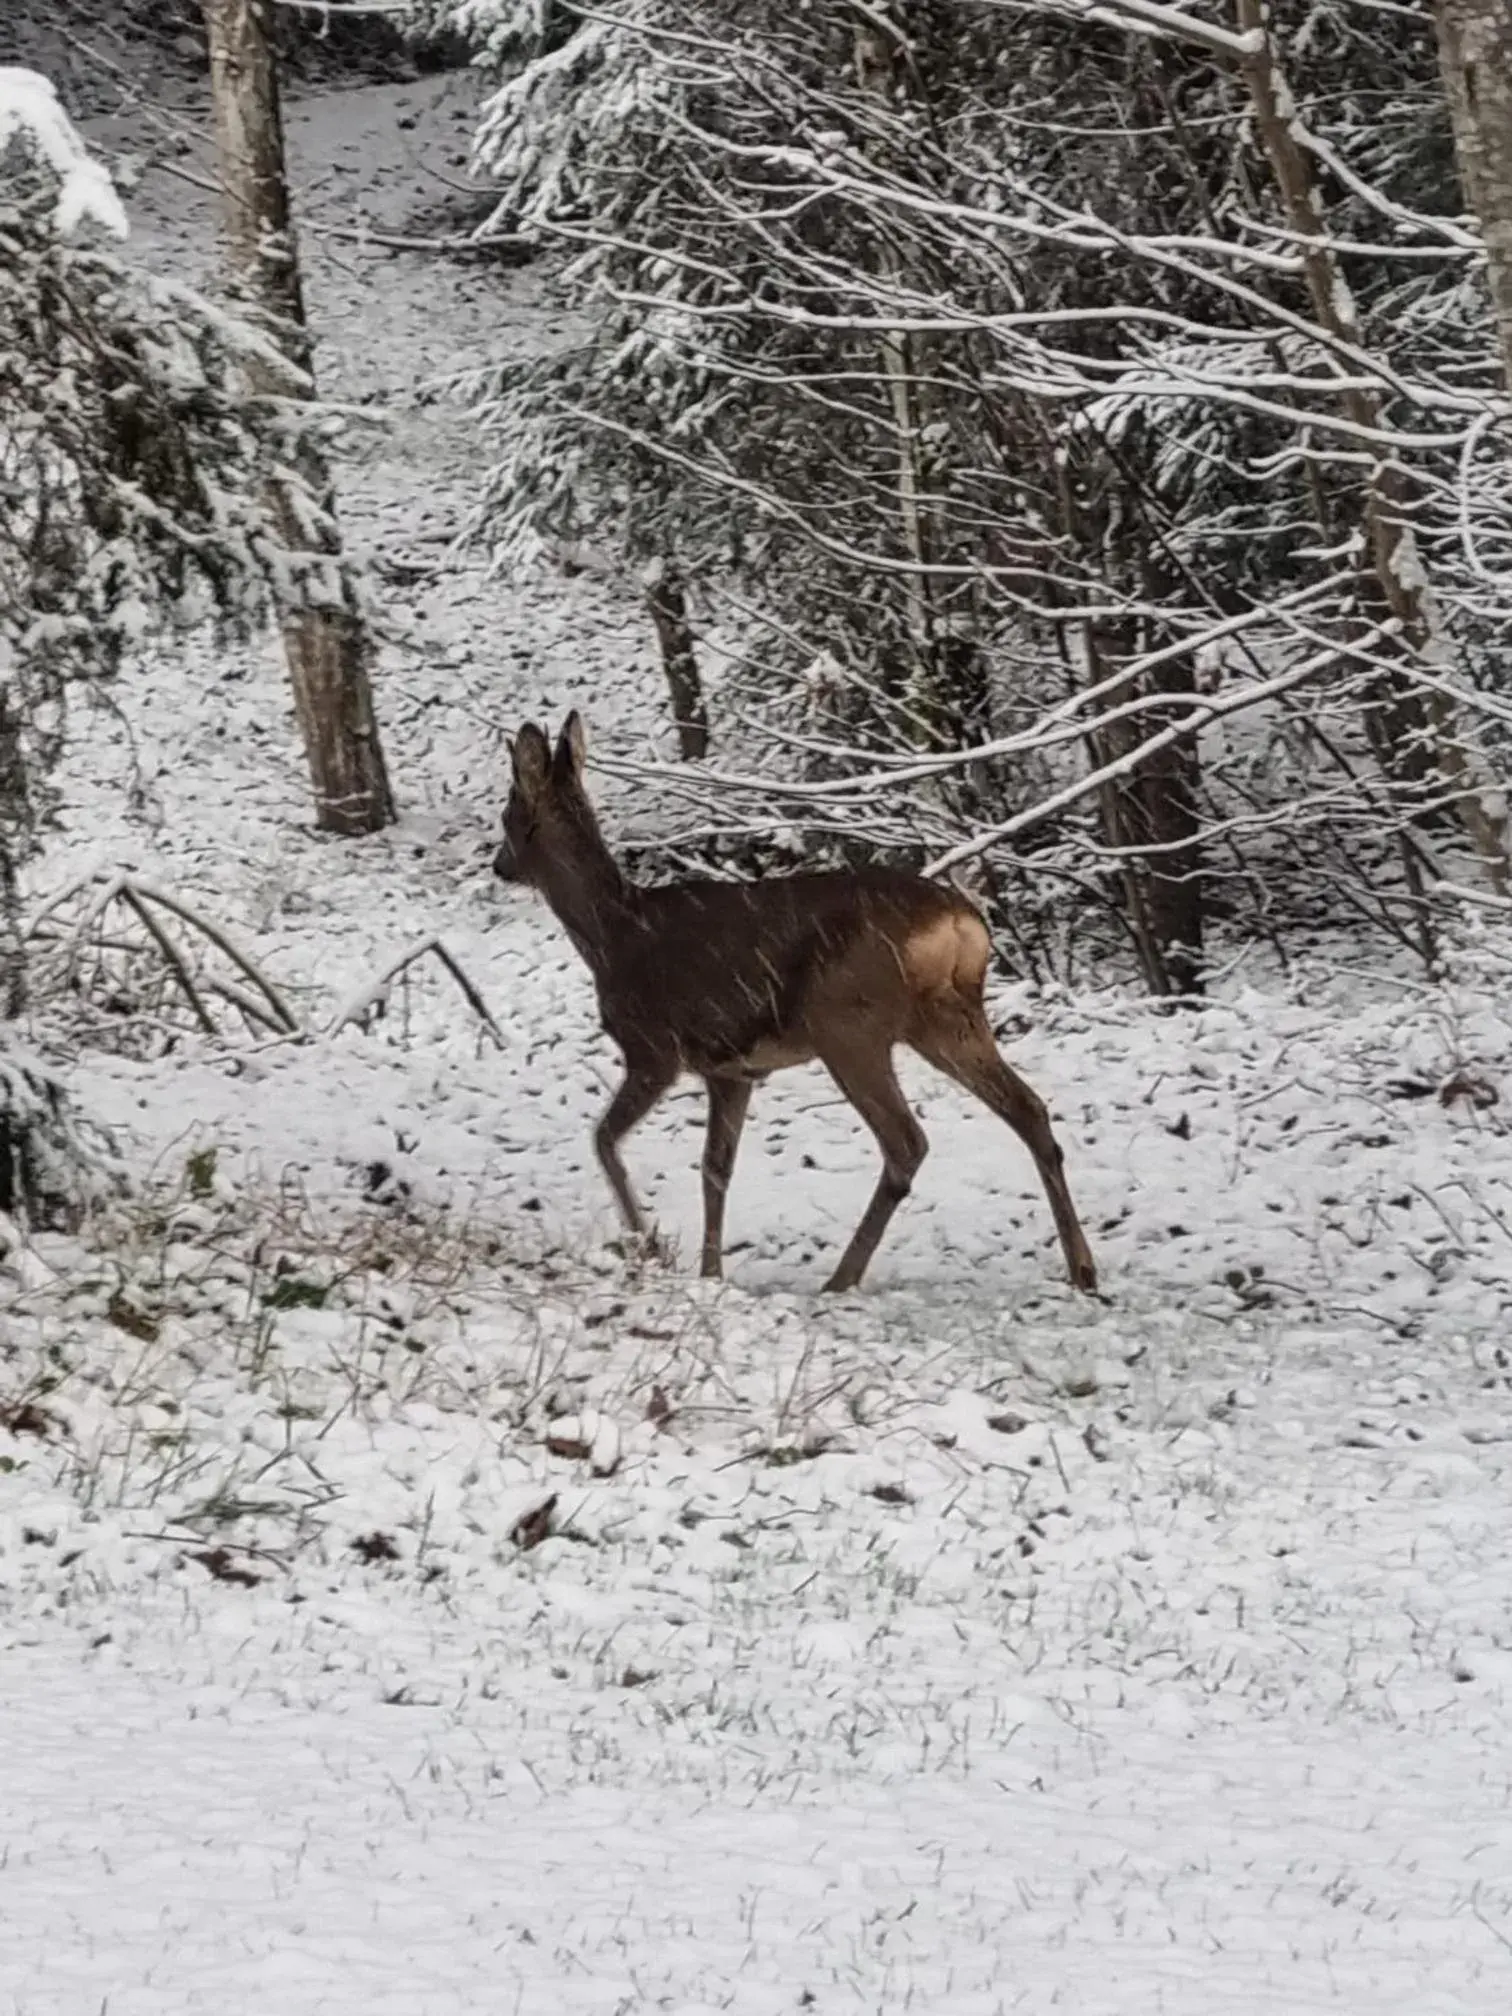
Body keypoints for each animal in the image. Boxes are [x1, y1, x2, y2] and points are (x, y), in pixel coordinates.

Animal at [497, 717, 1104, 1298]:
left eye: (507, 813)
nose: (499, 865)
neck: (611, 935)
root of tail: (960, 925)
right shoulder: (731, 1070)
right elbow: (715, 1169)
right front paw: (709, 1272)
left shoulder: (655, 1049)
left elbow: (603, 1138)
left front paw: (646, 1246)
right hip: (945, 1018)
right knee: (1028, 1109)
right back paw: (1083, 1269)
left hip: (848, 1022)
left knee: (906, 1141)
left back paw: (840, 1278)